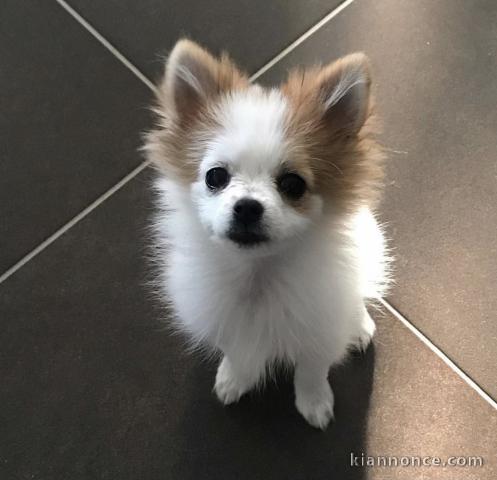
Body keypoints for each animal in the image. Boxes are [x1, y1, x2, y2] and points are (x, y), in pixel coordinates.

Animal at [145, 39, 390, 429]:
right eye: (215, 176)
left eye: (293, 184)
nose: (247, 206)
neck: (257, 275)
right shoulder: (223, 318)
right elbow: (235, 352)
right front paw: (234, 379)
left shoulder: (319, 331)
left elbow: (311, 370)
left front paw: (314, 403)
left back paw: (359, 326)